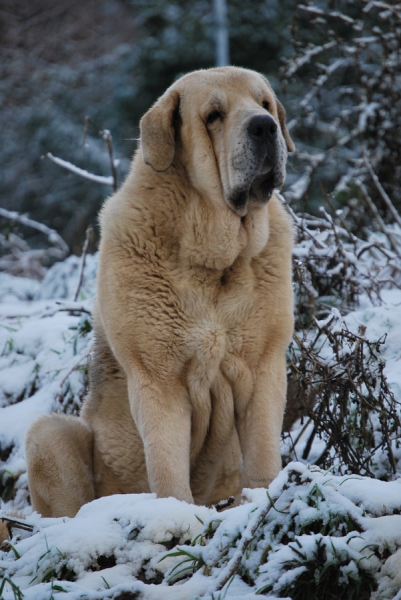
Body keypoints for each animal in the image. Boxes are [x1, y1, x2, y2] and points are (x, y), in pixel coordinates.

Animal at [25, 64, 294, 516]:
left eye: (265, 104)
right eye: (214, 115)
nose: (264, 126)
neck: (214, 261)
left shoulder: (264, 366)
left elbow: (261, 454)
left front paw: (264, 499)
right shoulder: (158, 379)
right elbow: (166, 463)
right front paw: (177, 515)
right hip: (48, 434)